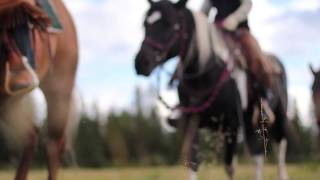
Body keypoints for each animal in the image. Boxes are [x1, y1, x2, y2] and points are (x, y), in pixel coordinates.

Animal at [134, 0, 241, 179]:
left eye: (170, 24)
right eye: (145, 25)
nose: (141, 62)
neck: (202, 78)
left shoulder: (231, 125)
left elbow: (230, 167)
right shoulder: (191, 123)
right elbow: (193, 162)